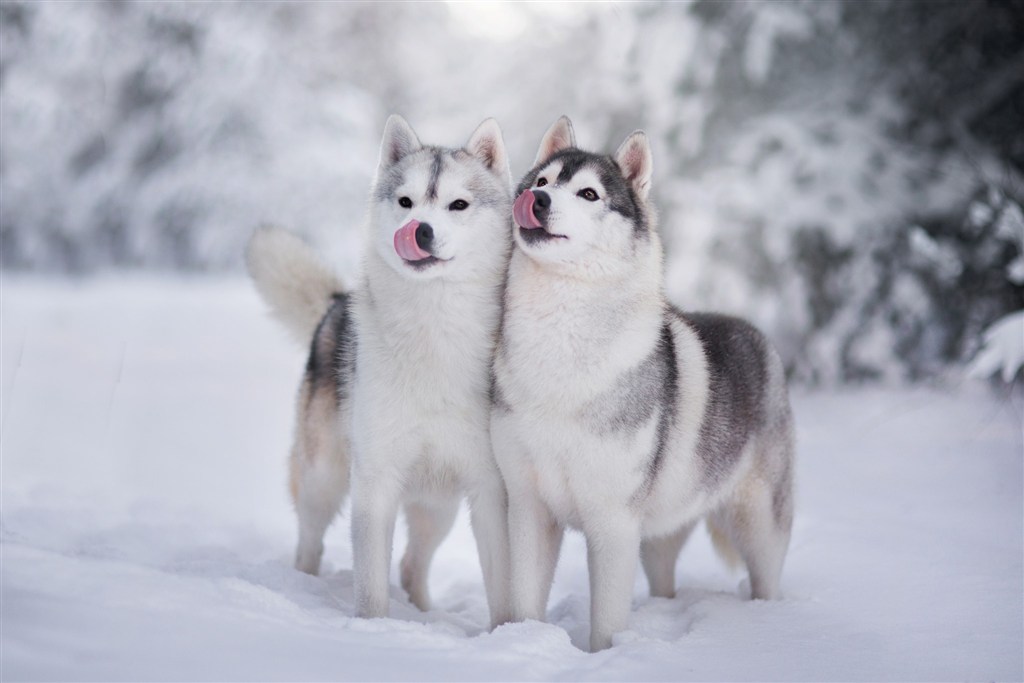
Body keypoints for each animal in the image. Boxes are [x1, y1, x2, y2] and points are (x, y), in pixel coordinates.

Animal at [246, 114, 516, 626]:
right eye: (406, 201)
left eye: (458, 204)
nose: (419, 229)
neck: (433, 331)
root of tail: (336, 303)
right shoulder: (375, 479)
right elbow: (370, 583)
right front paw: (372, 629)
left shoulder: (490, 488)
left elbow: (503, 585)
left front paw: (510, 633)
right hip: (323, 478)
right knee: (309, 543)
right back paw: (303, 587)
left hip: (437, 504)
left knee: (412, 565)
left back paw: (426, 614)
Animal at [491, 117, 794, 651]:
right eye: (542, 181)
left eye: (589, 193)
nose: (537, 200)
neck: (560, 341)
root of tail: (758, 337)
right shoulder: (530, 509)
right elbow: (526, 597)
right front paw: (524, 640)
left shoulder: (613, 523)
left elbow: (608, 621)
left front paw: (606, 656)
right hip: (659, 536)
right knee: (664, 579)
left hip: (757, 525)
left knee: (766, 577)